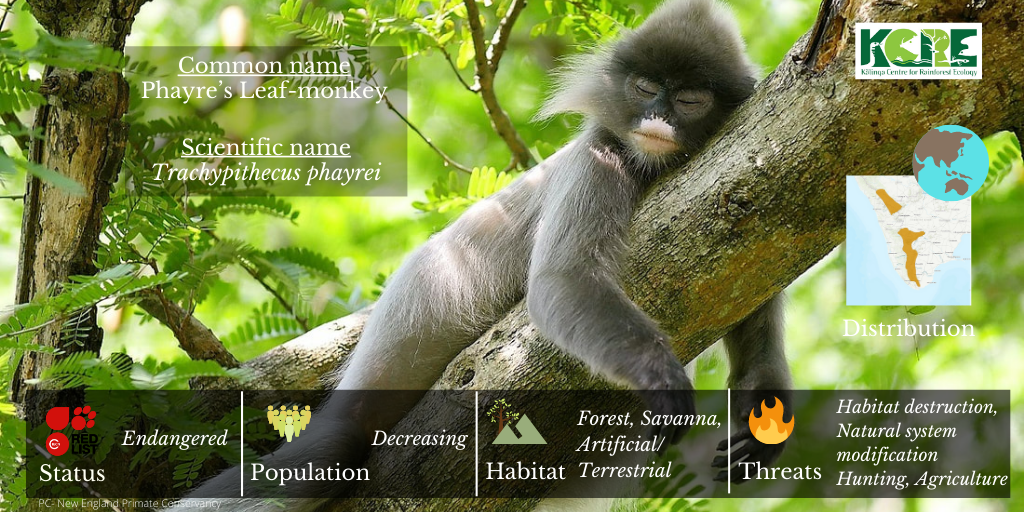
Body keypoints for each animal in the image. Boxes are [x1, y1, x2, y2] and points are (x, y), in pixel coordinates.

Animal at [168, 0, 791, 509]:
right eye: (645, 88)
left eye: (688, 98)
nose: (658, 117)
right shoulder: (599, 156)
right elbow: (560, 283)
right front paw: (662, 380)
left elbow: (754, 293)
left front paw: (763, 410)